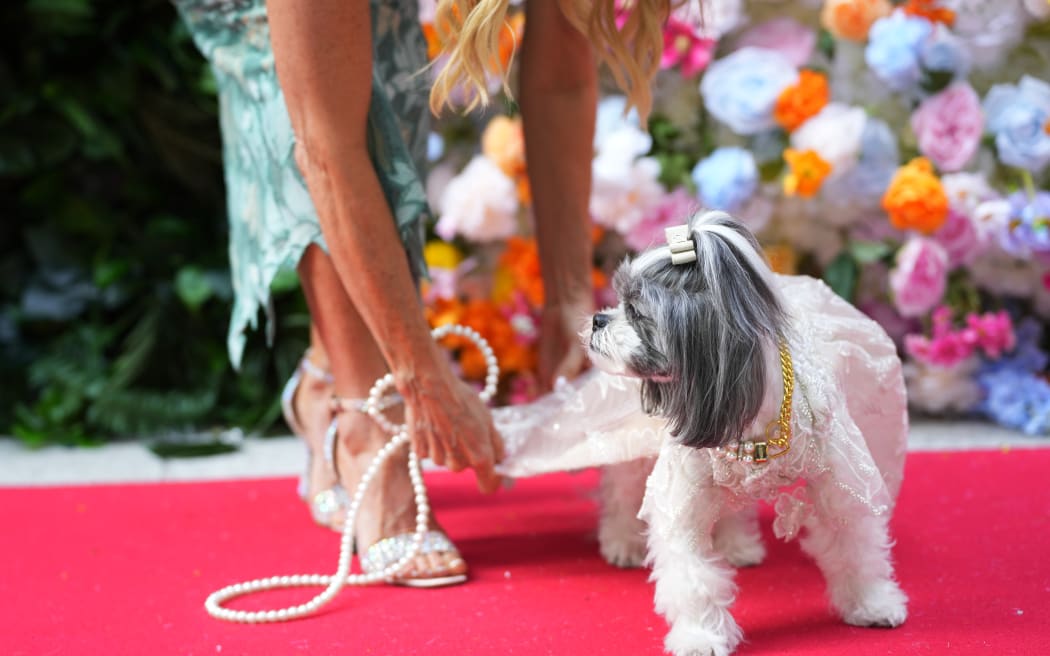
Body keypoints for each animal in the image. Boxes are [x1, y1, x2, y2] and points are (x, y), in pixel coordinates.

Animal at [588, 210, 907, 654]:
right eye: (619, 300)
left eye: (636, 311)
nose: (599, 318)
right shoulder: (682, 488)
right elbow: (692, 574)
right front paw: (700, 635)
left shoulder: (841, 476)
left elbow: (855, 542)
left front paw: (871, 602)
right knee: (623, 486)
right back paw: (622, 540)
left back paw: (737, 544)